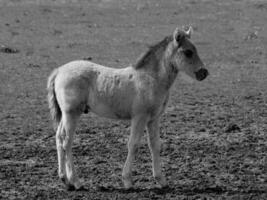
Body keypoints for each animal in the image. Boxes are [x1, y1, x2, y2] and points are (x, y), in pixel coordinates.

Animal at [47, 27, 208, 191]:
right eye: (188, 52)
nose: (204, 73)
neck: (151, 79)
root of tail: (59, 71)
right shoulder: (139, 117)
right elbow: (133, 144)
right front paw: (128, 181)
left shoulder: (154, 118)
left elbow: (155, 145)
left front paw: (161, 180)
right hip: (72, 113)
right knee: (67, 142)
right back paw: (76, 181)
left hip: (65, 115)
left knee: (59, 137)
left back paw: (65, 180)